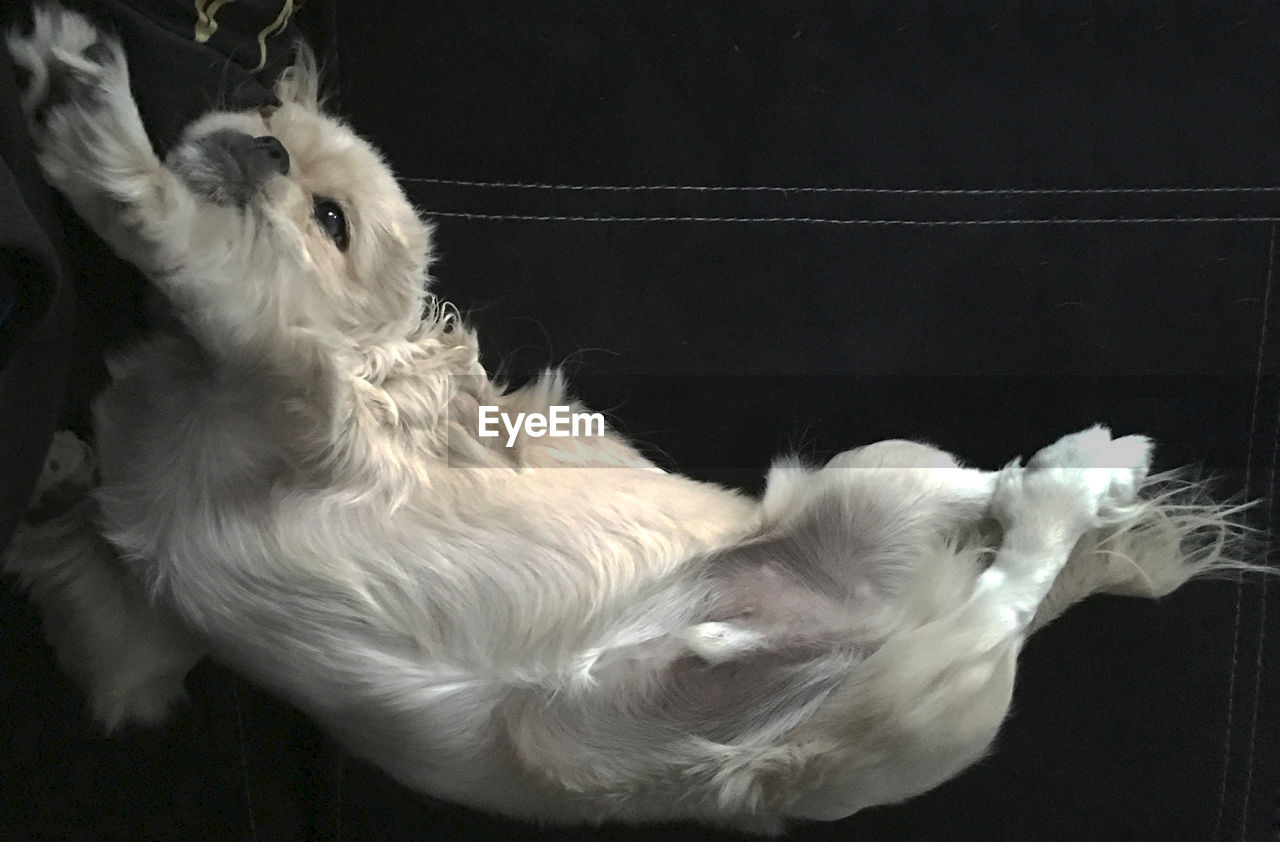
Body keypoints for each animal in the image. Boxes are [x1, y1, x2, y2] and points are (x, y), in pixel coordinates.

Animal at [5, 8, 1269, 834]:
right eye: (265, 109)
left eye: (329, 219)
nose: (260, 140)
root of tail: (885, 621)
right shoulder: (137, 646)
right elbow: (89, 586)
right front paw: (53, 477)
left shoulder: (291, 390)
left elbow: (198, 258)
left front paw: (92, 126)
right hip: (869, 497)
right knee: (980, 513)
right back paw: (1074, 482)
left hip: (903, 703)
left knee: (1004, 581)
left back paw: (1077, 480)